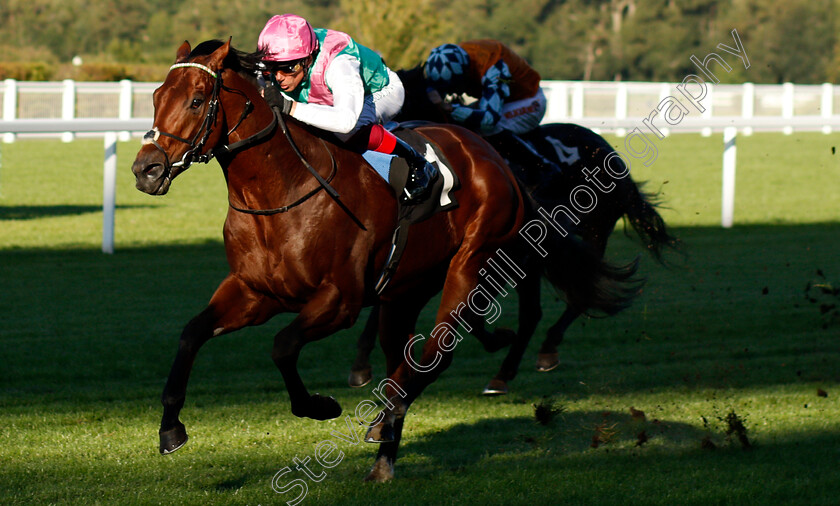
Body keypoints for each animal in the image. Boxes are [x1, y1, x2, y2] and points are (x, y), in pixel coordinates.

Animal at [135, 39, 640, 482]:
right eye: (157, 96)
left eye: (197, 100)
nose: (146, 170)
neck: (281, 190)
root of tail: (498, 160)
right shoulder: (254, 291)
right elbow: (191, 334)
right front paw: (171, 429)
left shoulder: (338, 301)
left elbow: (282, 347)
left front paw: (321, 405)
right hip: (405, 291)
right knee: (408, 355)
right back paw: (388, 441)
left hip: (472, 261)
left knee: (438, 352)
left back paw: (394, 426)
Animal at [344, 63, 680, 394]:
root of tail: (614, 156)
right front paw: (361, 363)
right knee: (542, 307)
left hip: (587, 233)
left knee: (565, 299)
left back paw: (533, 356)